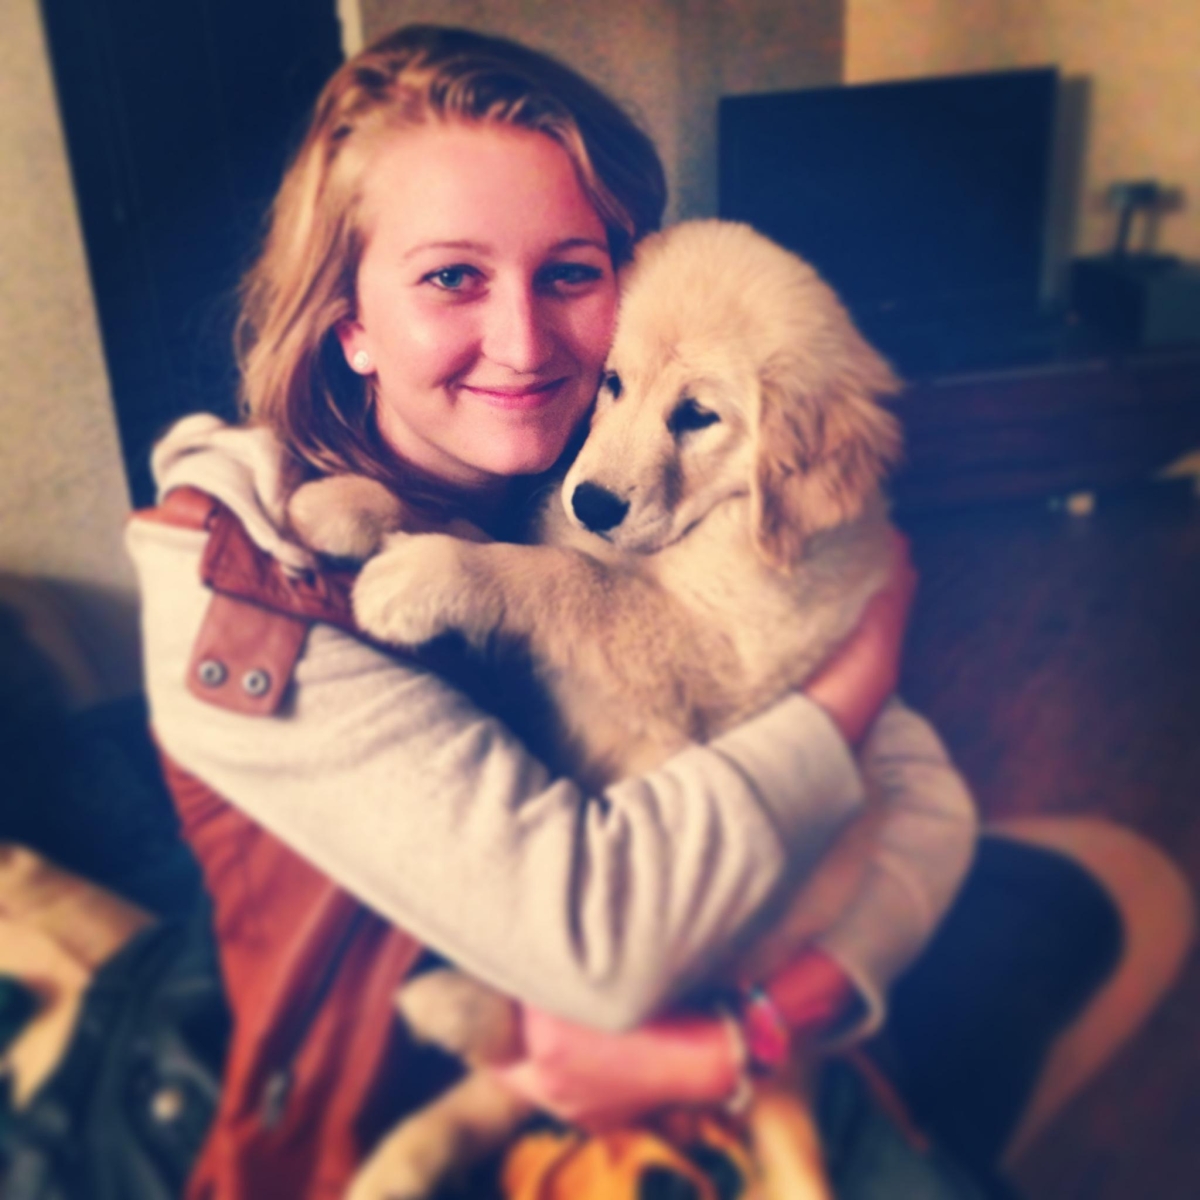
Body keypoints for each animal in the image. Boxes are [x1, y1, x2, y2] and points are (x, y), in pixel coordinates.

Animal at [289, 219, 903, 1199]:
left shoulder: (702, 656)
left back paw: (449, 1006)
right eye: (611, 384)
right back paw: (398, 1155)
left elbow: (561, 576)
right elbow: (497, 530)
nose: (592, 499)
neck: (719, 530)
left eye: (698, 415)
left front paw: (422, 579)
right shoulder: (582, 539)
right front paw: (349, 501)